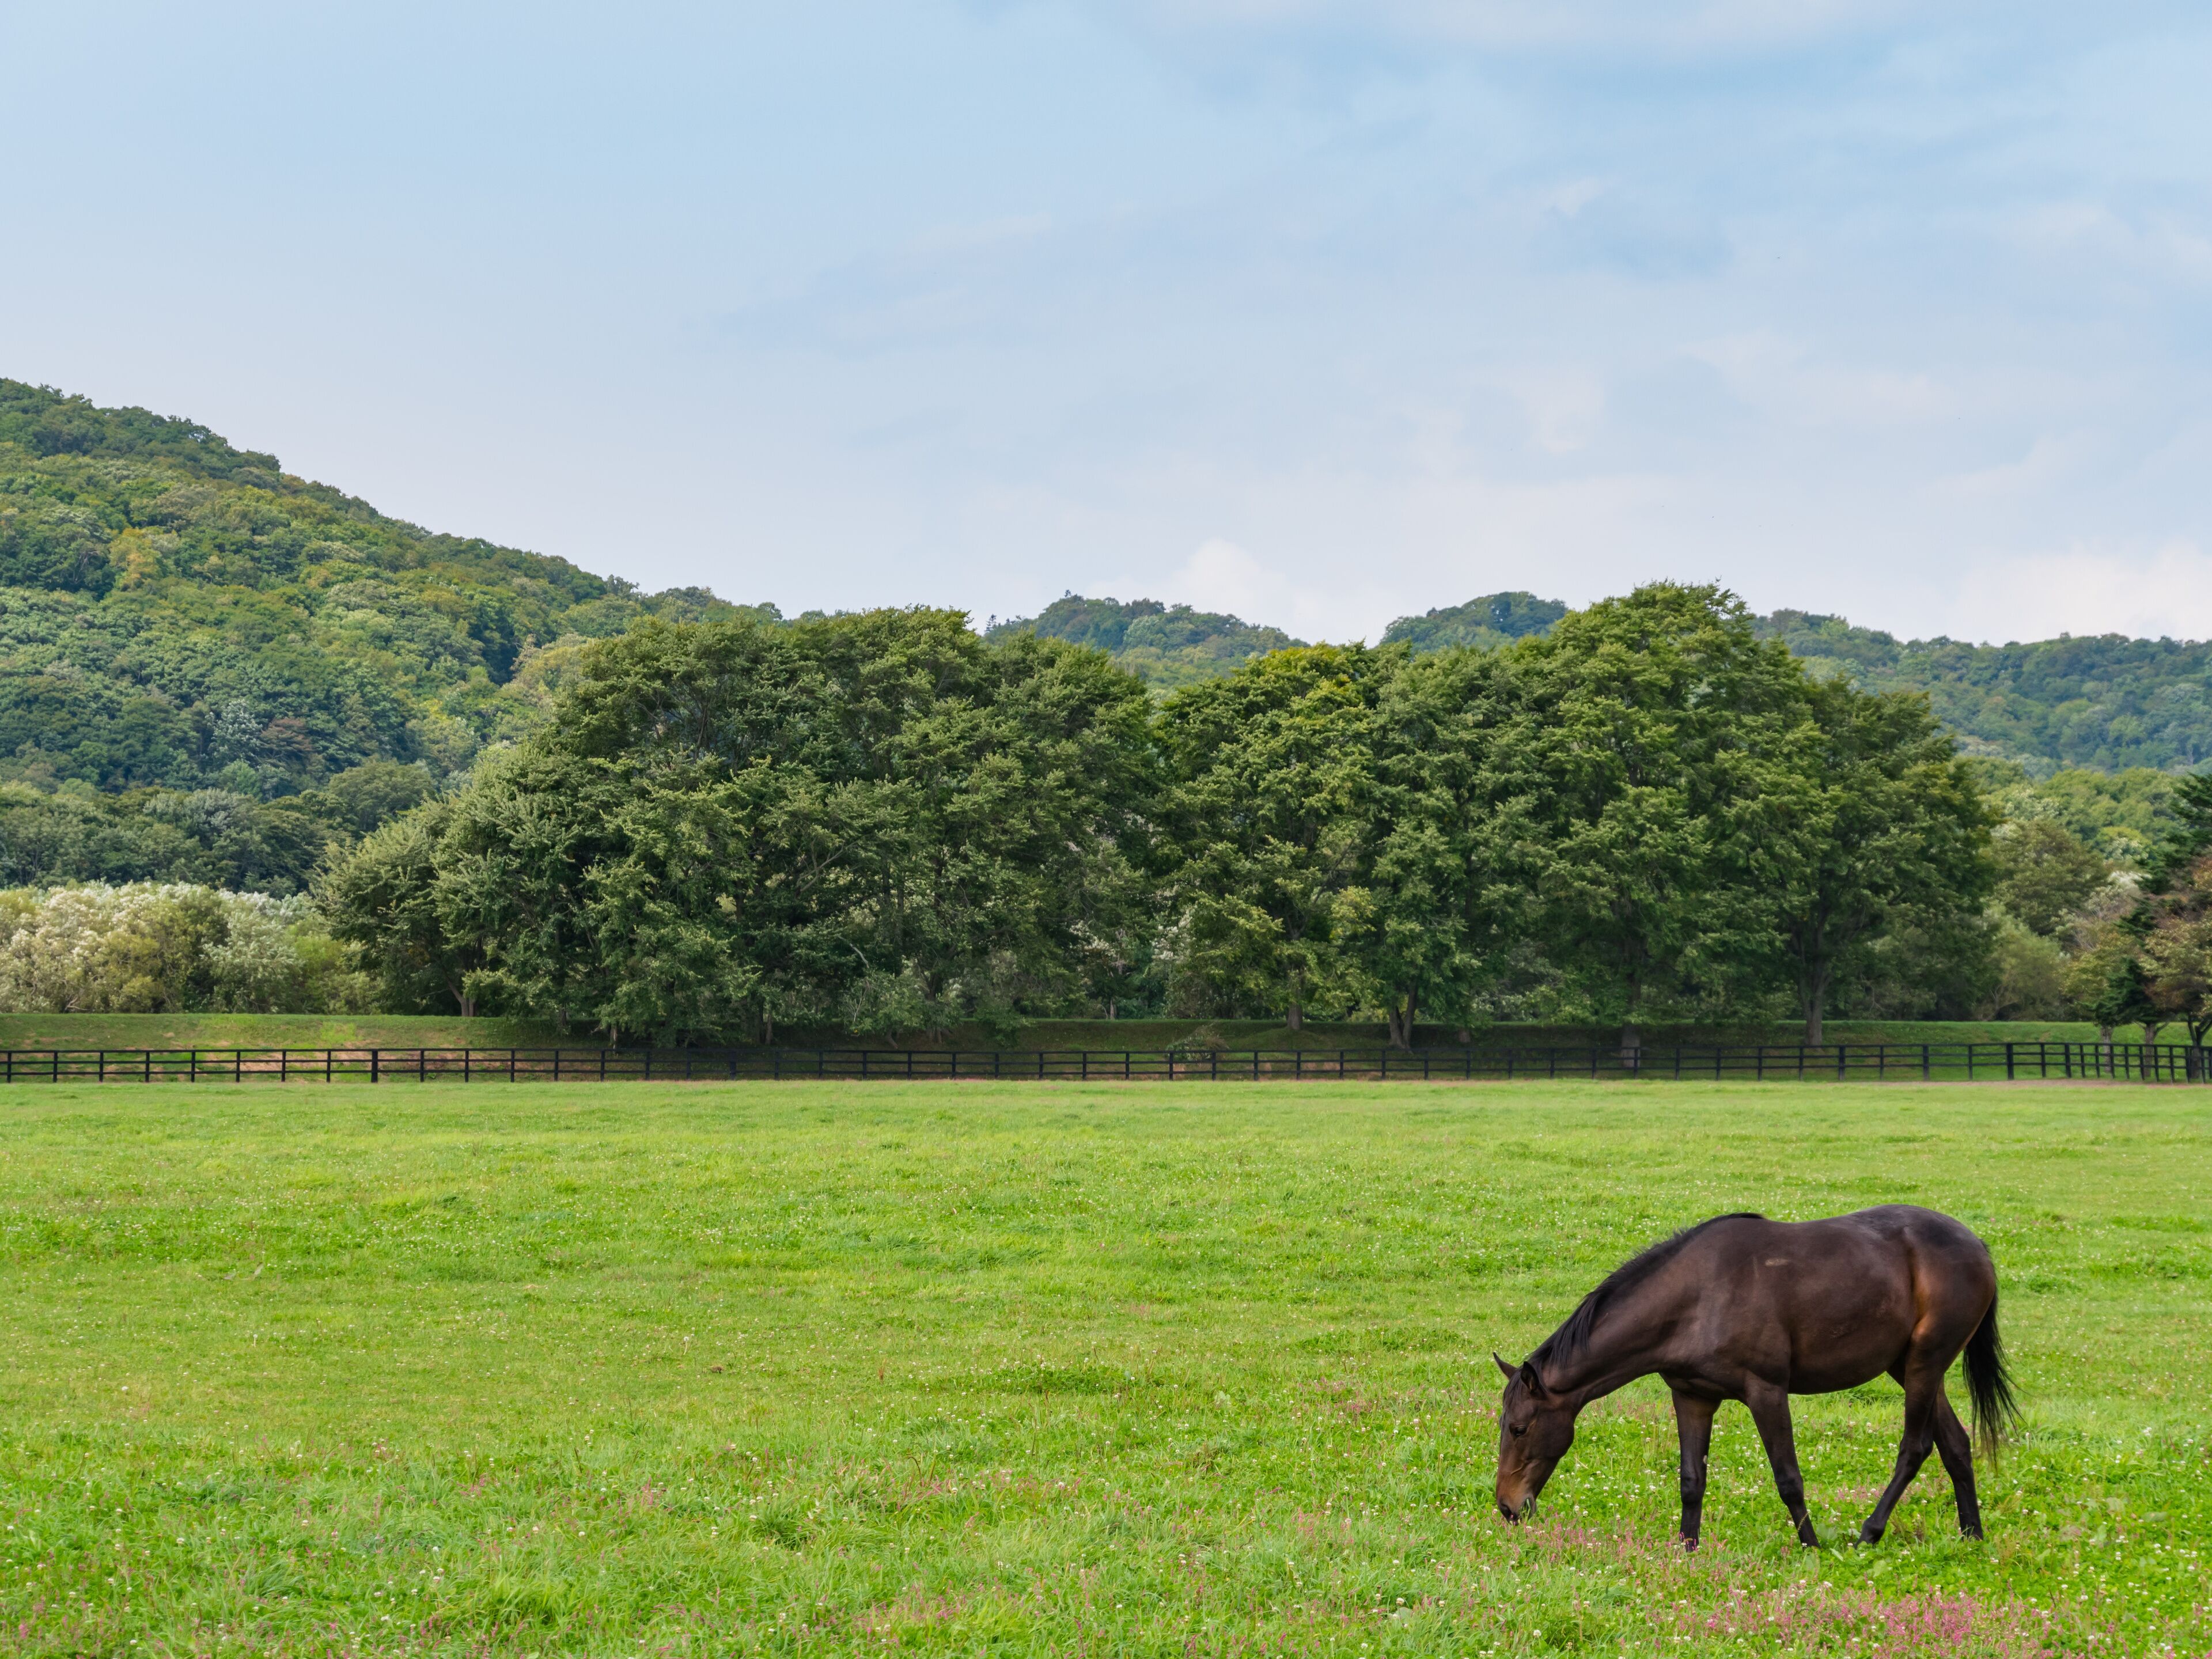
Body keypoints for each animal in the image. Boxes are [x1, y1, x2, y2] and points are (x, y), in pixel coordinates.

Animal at [1492, 1206, 2017, 1548]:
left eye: (1519, 1428)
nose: (1507, 1507)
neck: (1696, 1298)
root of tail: (1977, 1246)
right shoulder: (1692, 1398)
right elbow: (1691, 1479)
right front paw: (1686, 1549)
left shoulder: (1766, 1393)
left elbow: (1788, 1478)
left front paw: (1811, 1547)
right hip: (1910, 1368)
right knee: (1955, 1445)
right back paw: (1972, 1535)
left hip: (1925, 1365)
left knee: (1915, 1447)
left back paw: (1870, 1533)